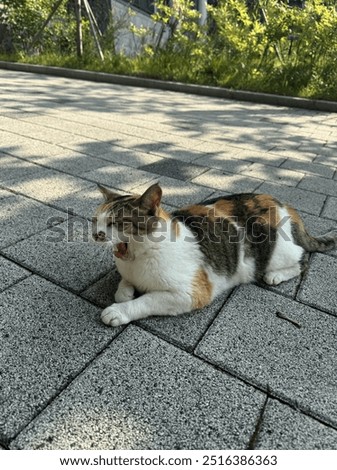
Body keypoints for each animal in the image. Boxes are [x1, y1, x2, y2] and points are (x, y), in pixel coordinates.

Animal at [92, 184, 336, 326]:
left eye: (116, 222)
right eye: (96, 220)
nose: (96, 234)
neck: (139, 258)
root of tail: (283, 204)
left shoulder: (192, 293)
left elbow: (147, 300)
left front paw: (118, 311)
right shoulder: (128, 272)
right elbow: (123, 287)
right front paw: (125, 293)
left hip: (276, 251)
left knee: (303, 259)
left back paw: (276, 275)